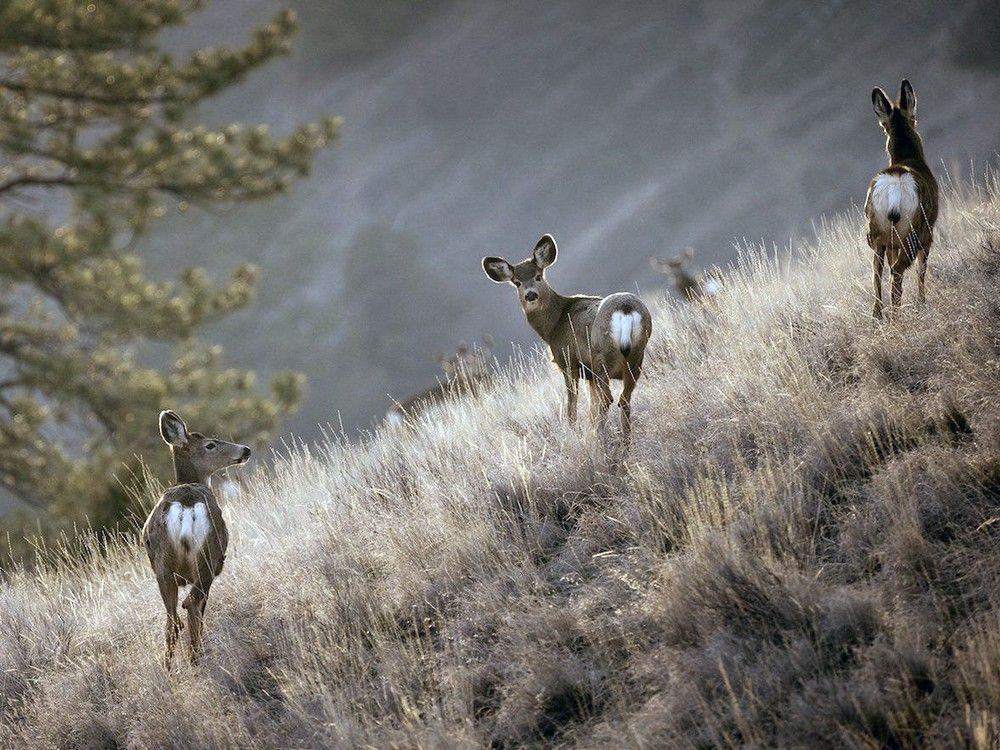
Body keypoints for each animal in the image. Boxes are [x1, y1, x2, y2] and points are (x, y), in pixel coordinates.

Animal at [141, 410, 250, 667]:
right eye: (210, 444)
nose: (245, 450)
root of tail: (186, 504)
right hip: (208, 557)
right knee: (191, 605)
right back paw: (196, 659)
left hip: (162, 565)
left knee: (172, 620)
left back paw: (170, 669)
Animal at [483, 234, 652, 440]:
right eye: (517, 282)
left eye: (538, 276)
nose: (530, 295)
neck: (554, 325)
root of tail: (625, 309)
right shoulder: (589, 375)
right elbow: (591, 407)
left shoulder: (568, 362)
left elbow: (572, 406)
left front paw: (573, 430)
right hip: (636, 358)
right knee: (623, 400)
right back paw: (624, 441)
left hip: (601, 358)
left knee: (608, 399)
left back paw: (600, 439)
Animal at [864, 79, 939, 320]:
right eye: (914, 117)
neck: (910, 159)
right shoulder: (928, 235)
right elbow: (922, 271)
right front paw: (923, 303)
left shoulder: (890, 244)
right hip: (913, 234)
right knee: (897, 272)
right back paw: (898, 315)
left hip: (876, 236)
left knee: (877, 275)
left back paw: (879, 317)